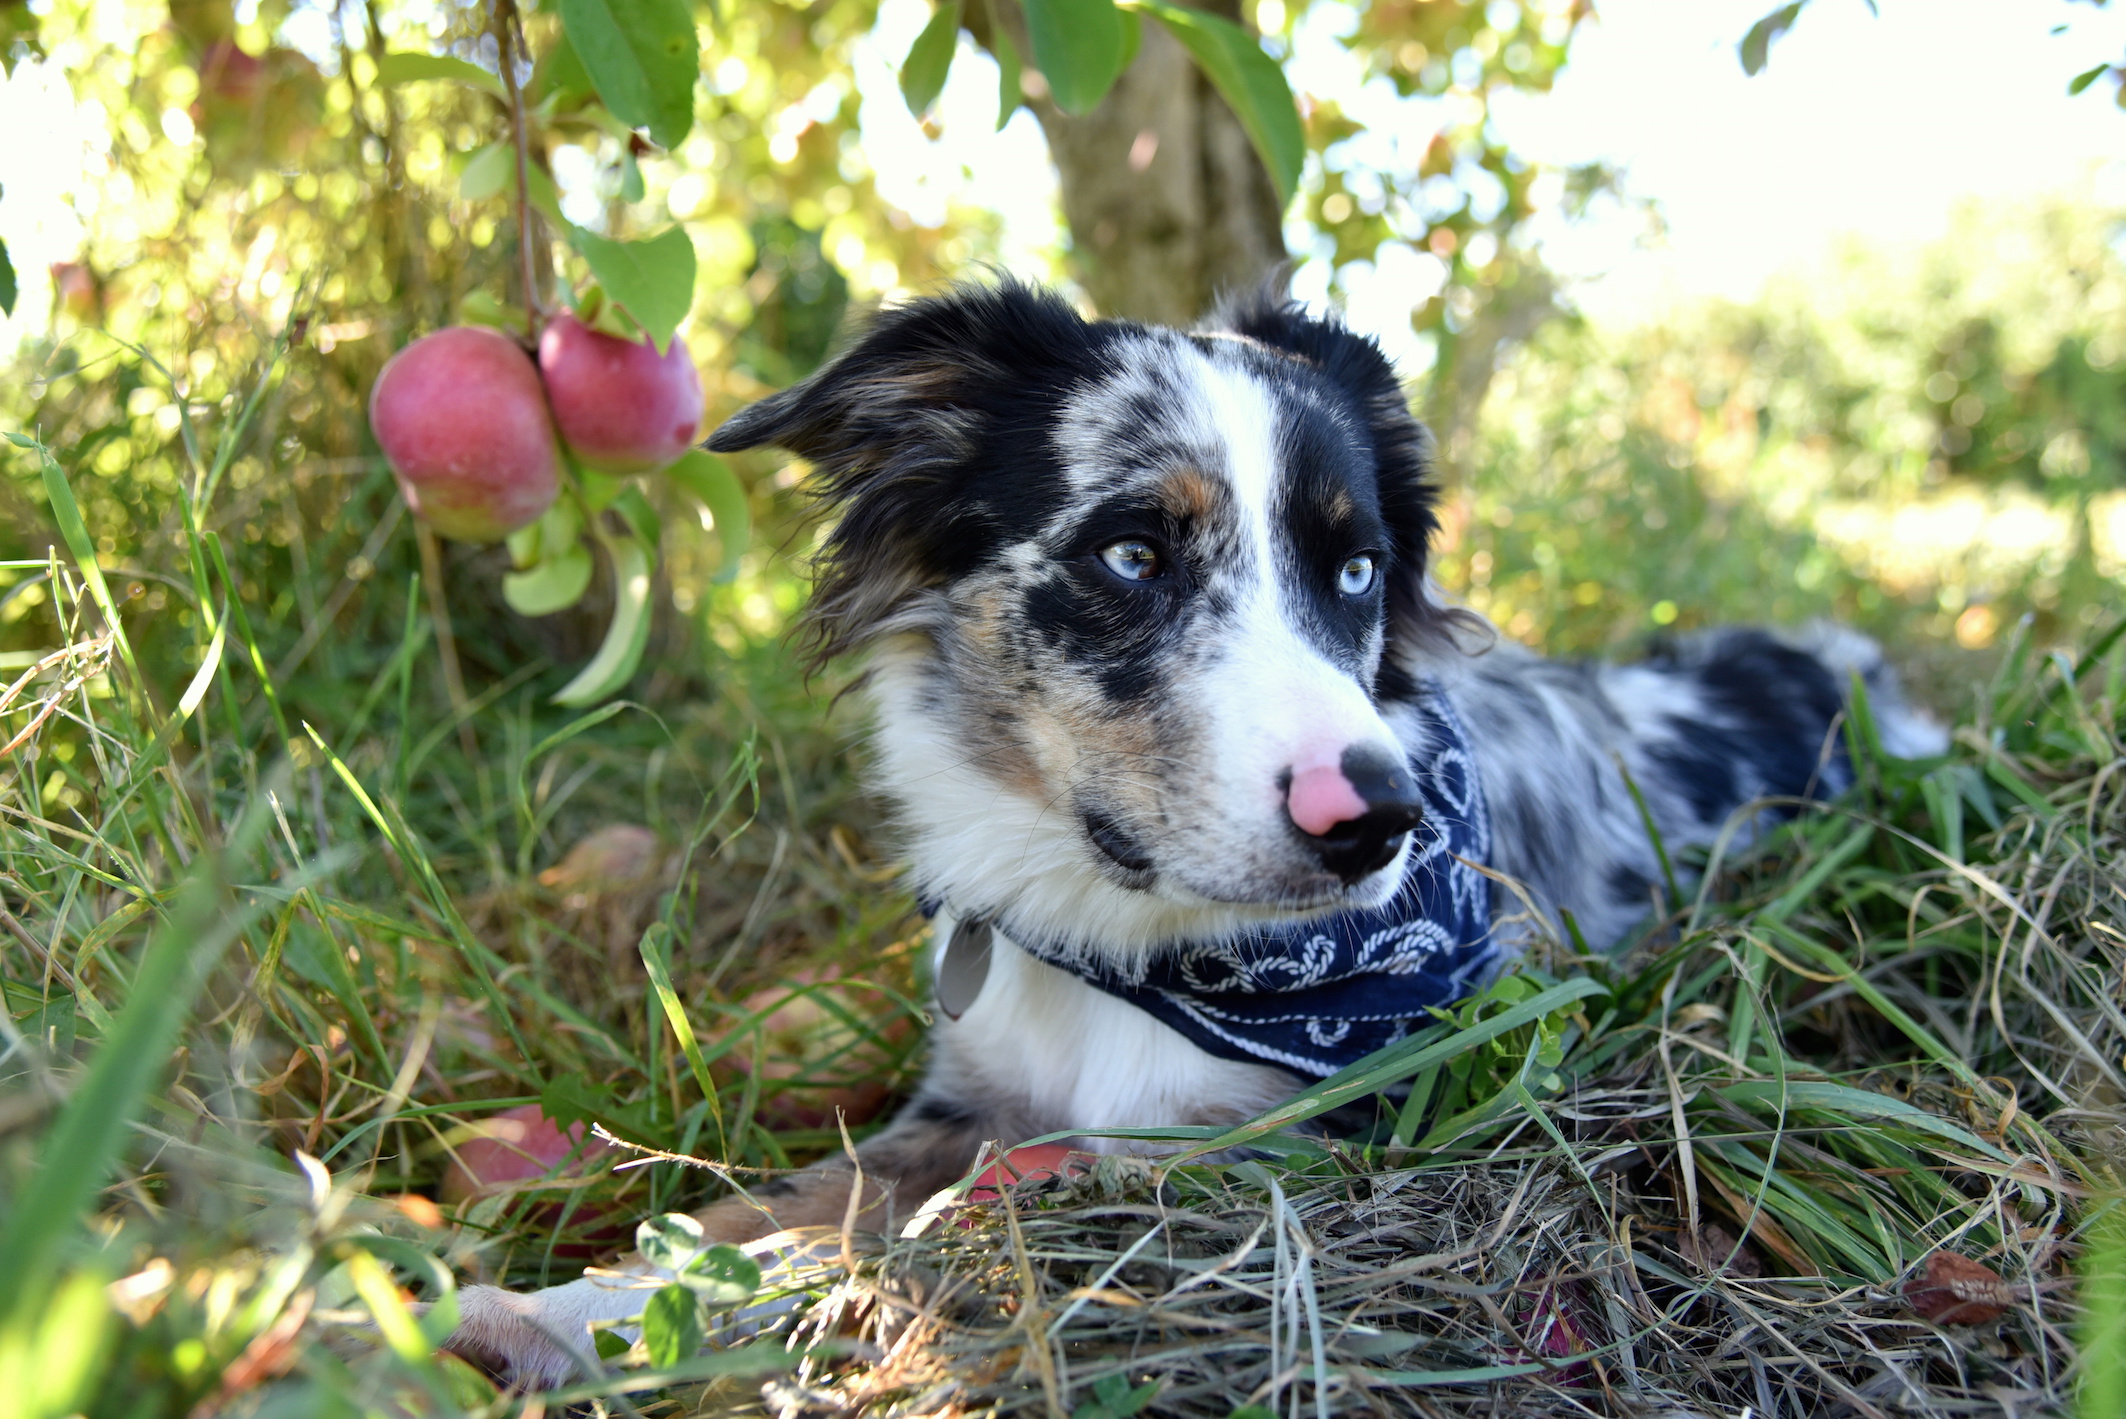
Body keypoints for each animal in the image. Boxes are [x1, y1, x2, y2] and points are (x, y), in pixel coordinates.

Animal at [444, 280, 1947, 1387]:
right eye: (1131, 555)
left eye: (1356, 569)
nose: (1377, 817)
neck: (1127, 946)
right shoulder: (967, 1103)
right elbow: (776, 1205)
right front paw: (558, 1301)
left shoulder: (1243, 1150)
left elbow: (890, 1240)